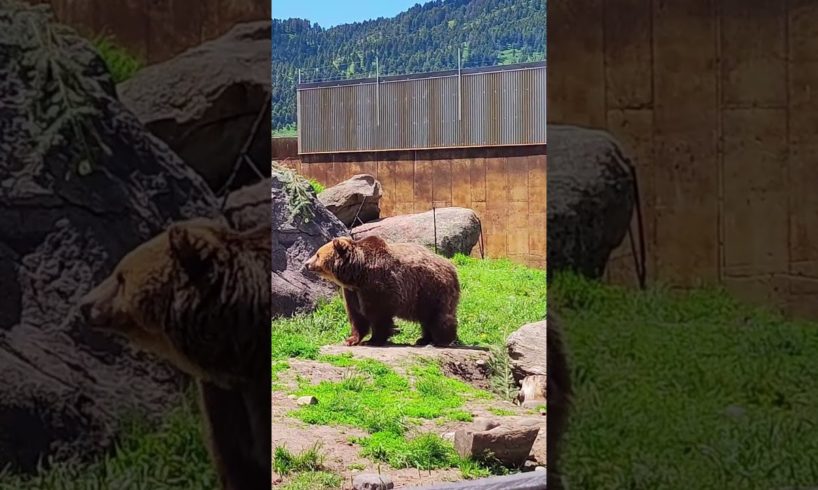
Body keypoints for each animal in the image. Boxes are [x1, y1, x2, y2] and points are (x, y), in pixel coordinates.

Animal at [304, 235, 460, 346]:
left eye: (317, 254)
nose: (306, 264)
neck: (357, 274)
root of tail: (452, 268)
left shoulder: (377, 286)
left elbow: (378, 314)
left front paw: (373, 340)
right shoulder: (352, 292)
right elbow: (356, 315)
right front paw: (351, 339)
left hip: (430, 289)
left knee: (438, 315)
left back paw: (442, 339)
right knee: (426, 317)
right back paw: (423, 339)